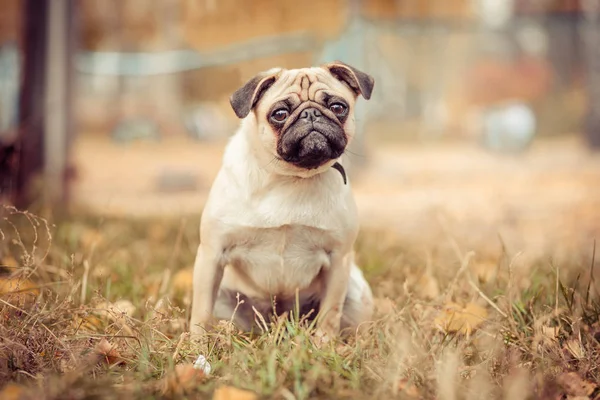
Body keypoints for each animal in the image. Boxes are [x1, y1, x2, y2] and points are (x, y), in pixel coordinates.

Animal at [189, 61, 376, 342]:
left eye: (338, 107)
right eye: (279, 114)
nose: (311, 114)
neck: (289, 178)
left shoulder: (338, 259)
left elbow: (330, 312)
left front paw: (323, 343)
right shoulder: (212, 254)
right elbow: (200, 312)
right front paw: (195, 346)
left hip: (355, 293)